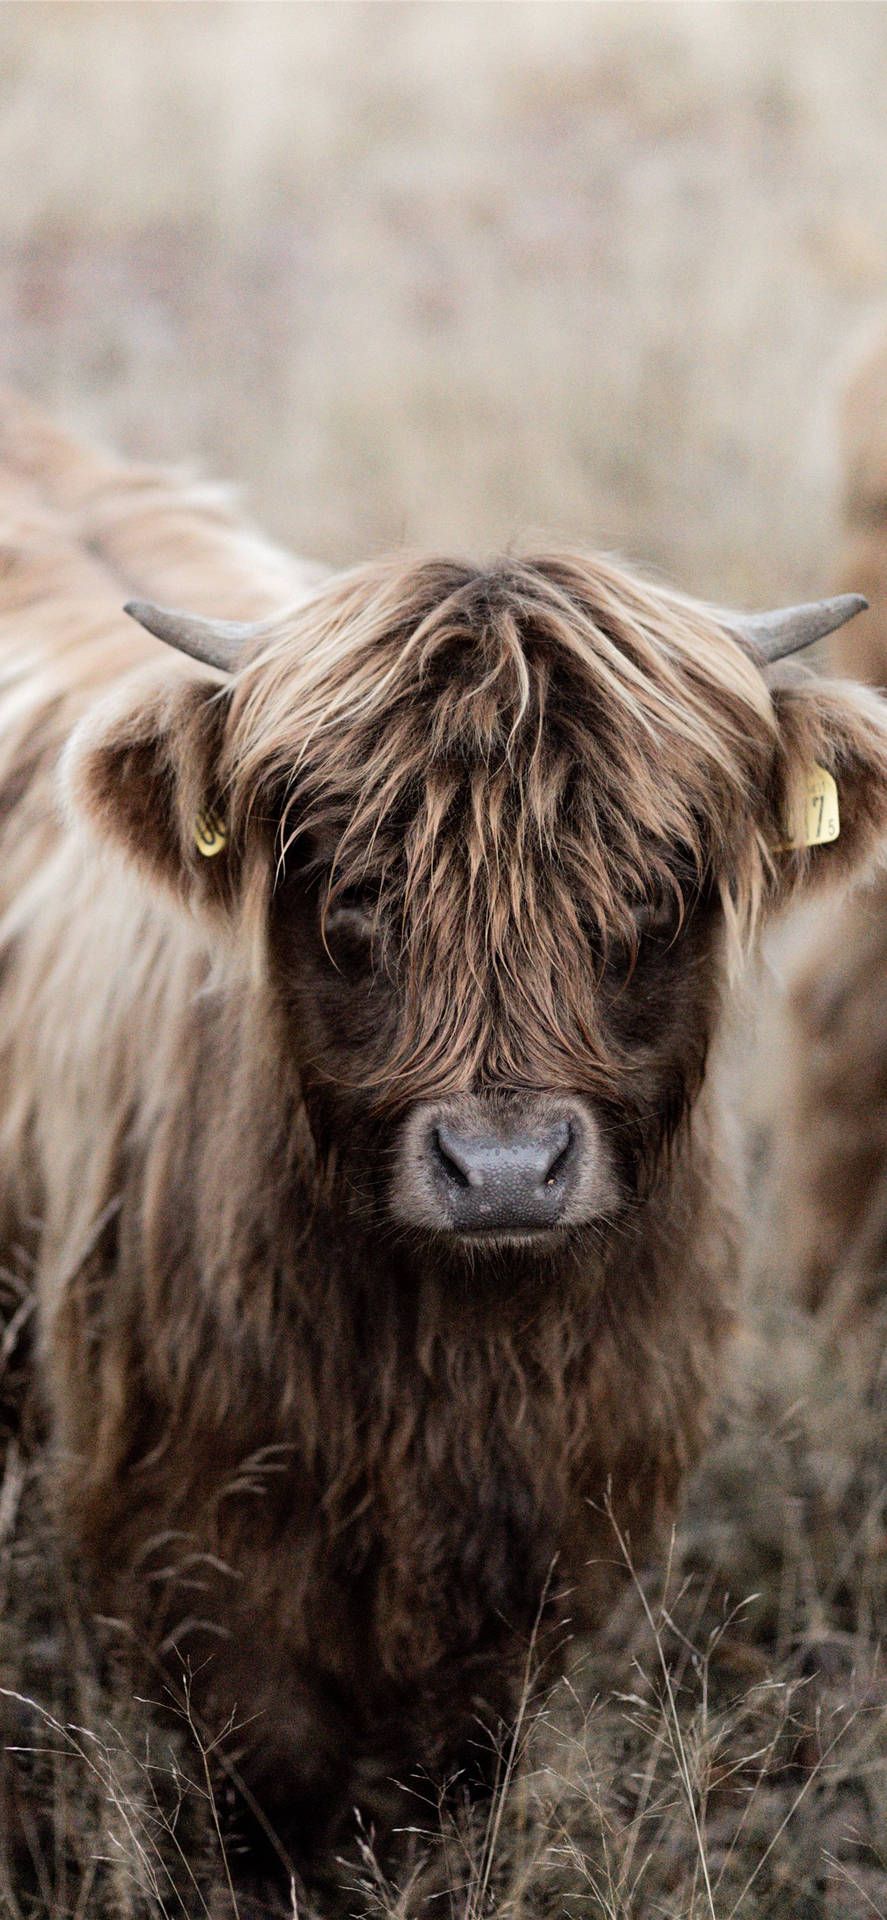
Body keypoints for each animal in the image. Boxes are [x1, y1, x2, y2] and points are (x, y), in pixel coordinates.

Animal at [1, 390, 886, 1909]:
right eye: (351, 891)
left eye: (650, 890)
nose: (505, 1169)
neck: (449, 1362)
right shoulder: (187, 1546)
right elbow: (269, 1790)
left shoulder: (557, 1540)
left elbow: (448, 1783)